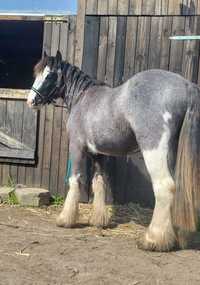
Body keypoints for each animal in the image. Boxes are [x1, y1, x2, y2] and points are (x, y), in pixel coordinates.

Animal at [27, 50, 200, 251]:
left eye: (49, 75)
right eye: (37, 74)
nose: (31, 101)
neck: (82, 98)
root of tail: (187, 86)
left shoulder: (77, 147)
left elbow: (75, 180)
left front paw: (65, 219)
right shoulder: (98, 153)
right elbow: (99, 181)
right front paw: (98, 220)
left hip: (154, 150)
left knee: (164, 187)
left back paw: (152, 240)